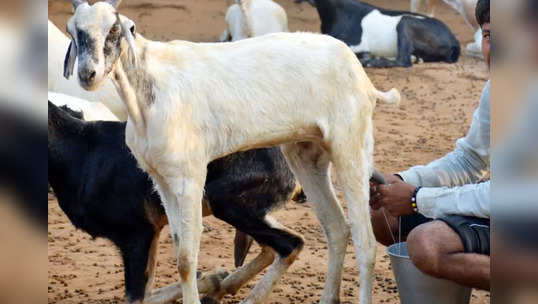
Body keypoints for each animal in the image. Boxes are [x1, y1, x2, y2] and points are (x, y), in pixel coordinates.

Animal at [47, 102, 306, 304]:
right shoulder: (151, 234)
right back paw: (223, 286)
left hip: (227, 203)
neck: (81, 151)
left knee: (292, 244)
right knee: (270, 248)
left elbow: (137, 297)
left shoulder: (137, 235)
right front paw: (212, 279)